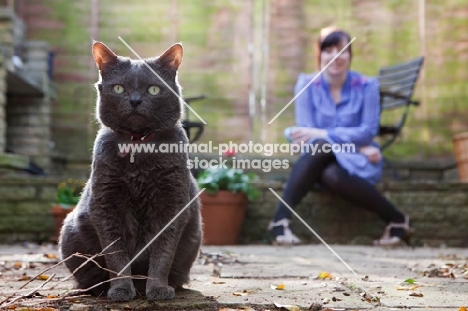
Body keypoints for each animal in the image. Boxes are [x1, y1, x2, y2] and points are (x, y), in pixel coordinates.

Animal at [59, 40, 203, 302]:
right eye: (118, 88)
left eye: (153, 90)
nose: (135, 101)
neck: (139, 145)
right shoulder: (104, 204)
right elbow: (116, 255)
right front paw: (121, 290)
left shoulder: (173, 204)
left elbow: (163, 253)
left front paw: (158, 289)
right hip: (71, 233)